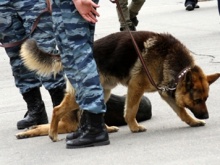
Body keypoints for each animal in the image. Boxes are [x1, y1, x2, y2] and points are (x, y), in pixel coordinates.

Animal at [16, 31, 219, 142]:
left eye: (206, 99)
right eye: (197, 100)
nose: (207, 116)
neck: (169, 59)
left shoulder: (167, 93)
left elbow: (182, 111)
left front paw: (192, 122)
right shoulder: (136, 87)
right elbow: (130, 110)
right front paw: (134, 127)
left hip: (101, 93)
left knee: (87, 112)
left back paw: (105, 129)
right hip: (86, 94)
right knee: (57, 110)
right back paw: (53, 134)